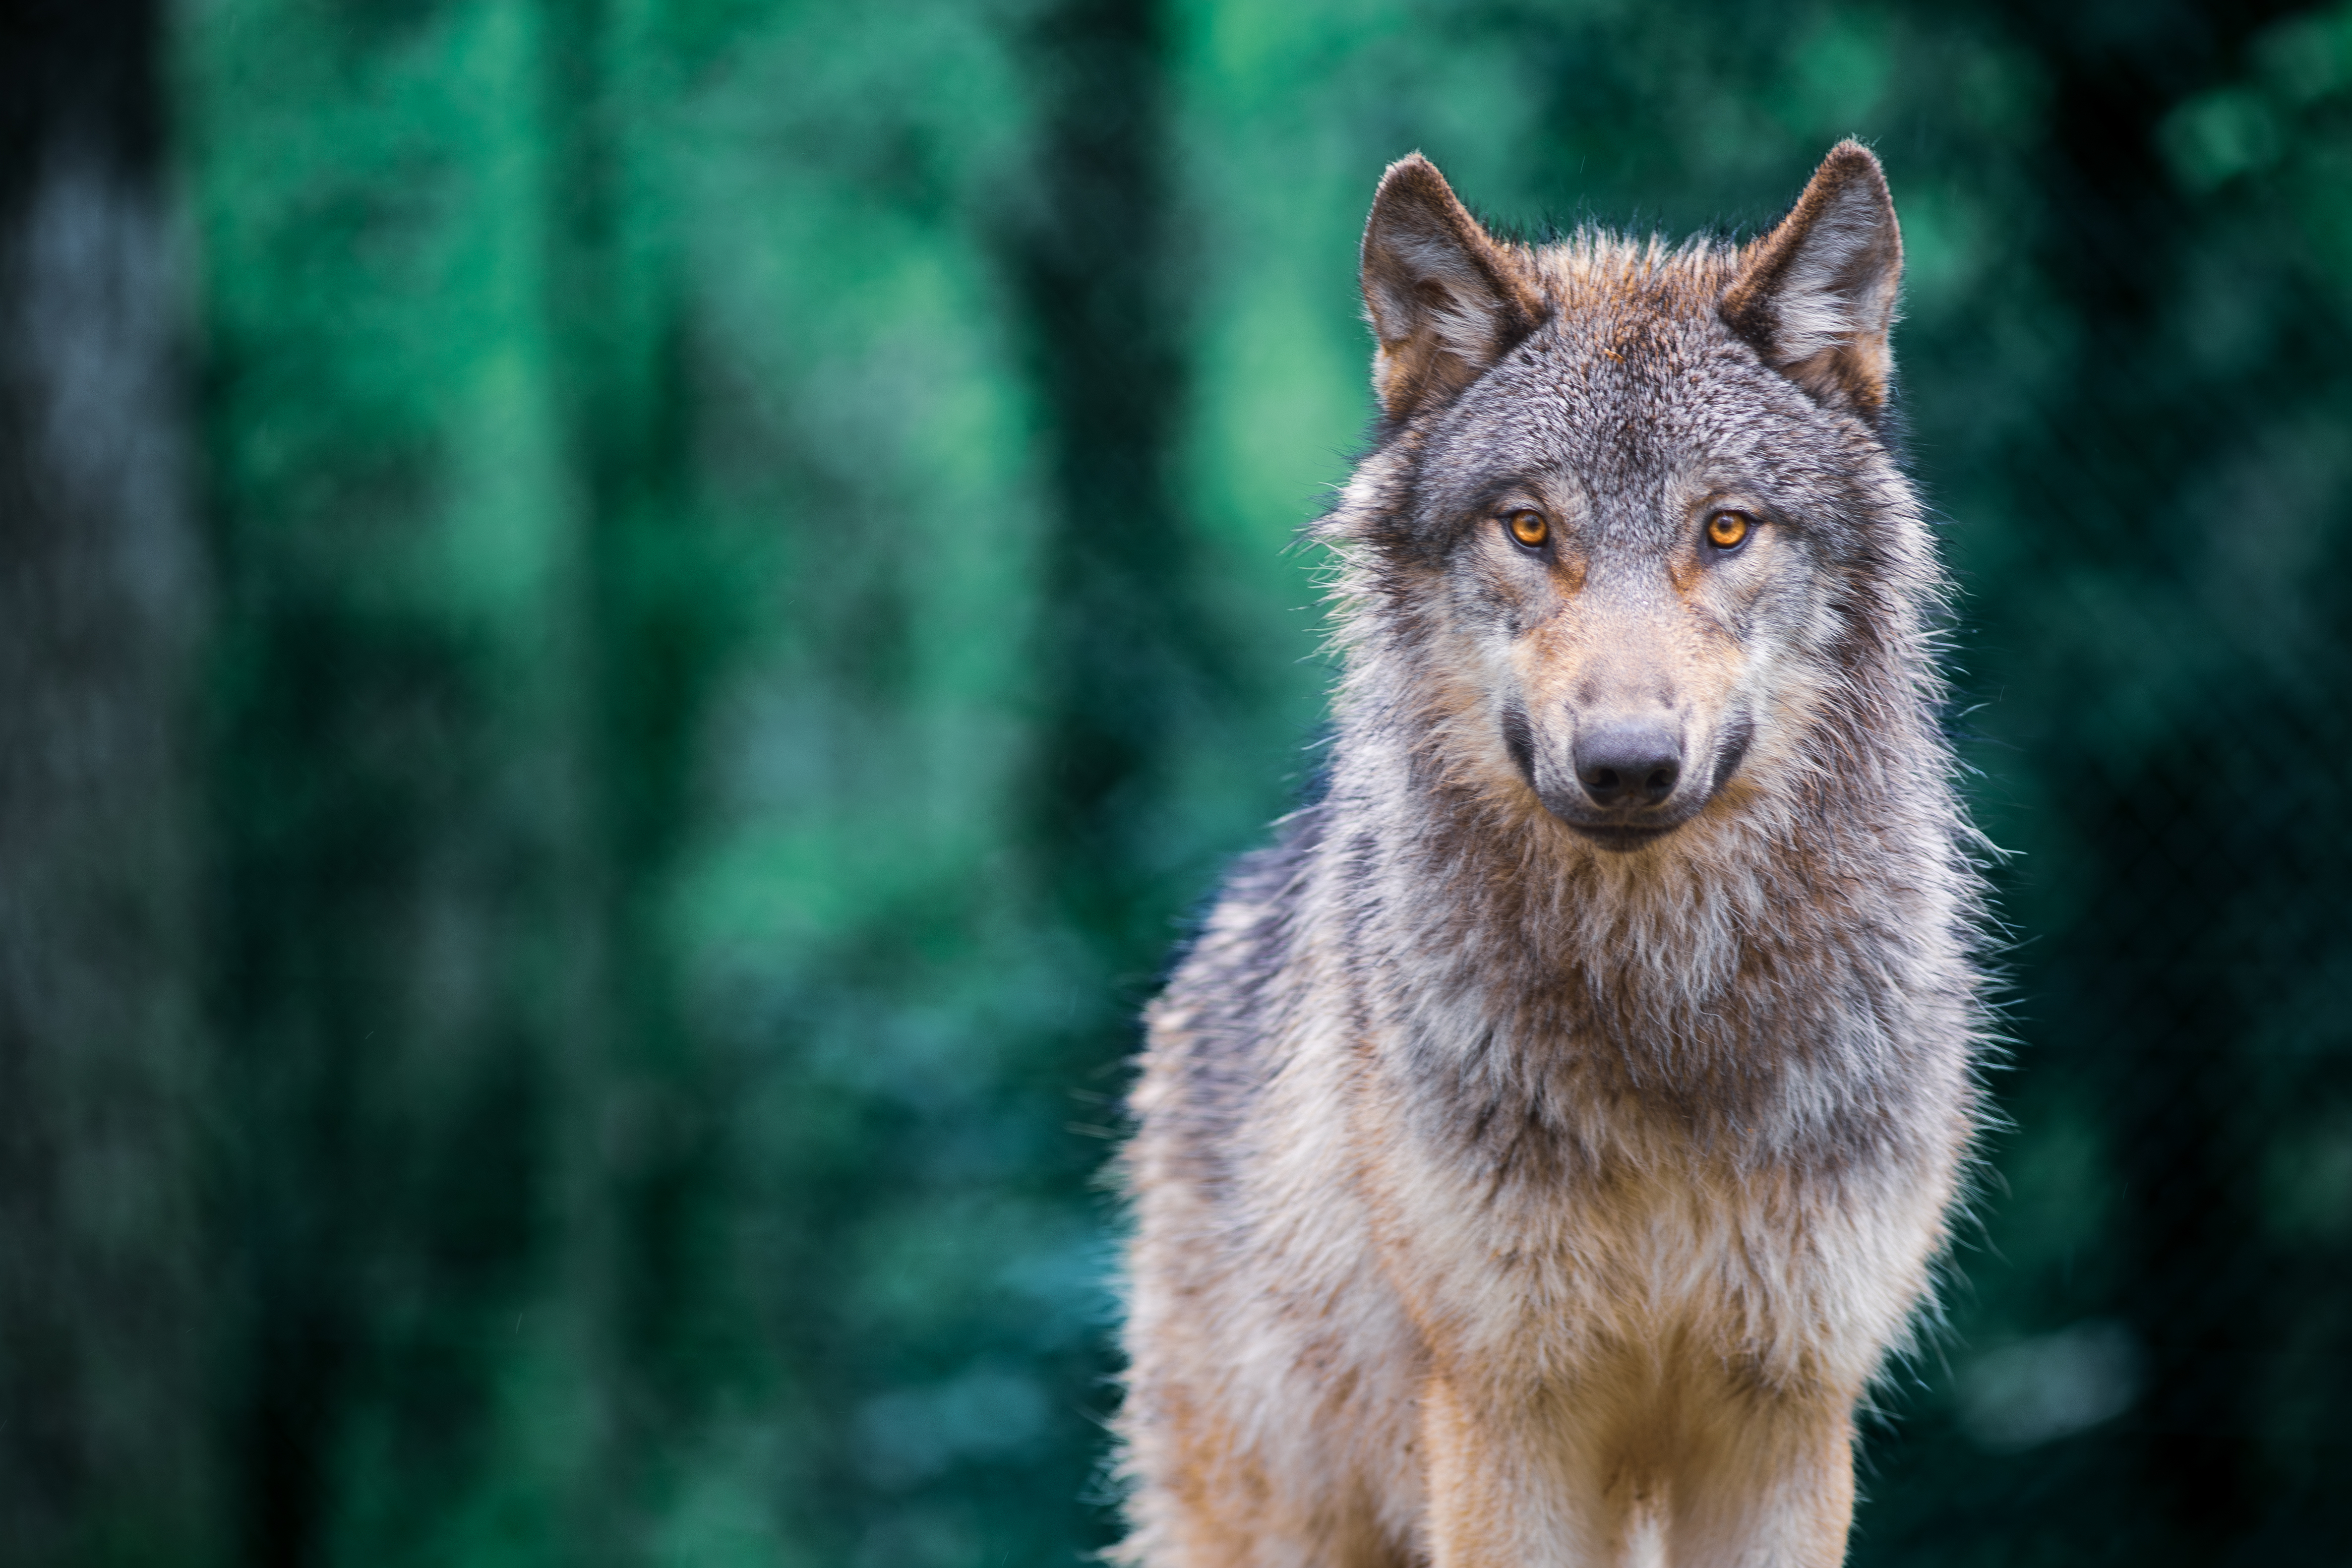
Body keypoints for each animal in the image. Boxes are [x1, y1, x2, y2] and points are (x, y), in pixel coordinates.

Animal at [1115, 141, 1985, 1561]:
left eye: (1725, 529)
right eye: (1528, 529)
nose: (1626, 763)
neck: (1662, 1014)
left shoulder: (1784, 1409)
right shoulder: (1508, 1406)